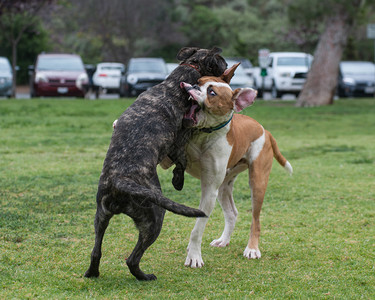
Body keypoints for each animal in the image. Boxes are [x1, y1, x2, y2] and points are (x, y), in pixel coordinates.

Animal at [84, 47, 226, 282]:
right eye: (222, 62)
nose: (227, 65)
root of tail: (120, 182)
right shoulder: (179, 141)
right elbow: (181, 162)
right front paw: (178, 181)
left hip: (101, 217)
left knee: (96, 250)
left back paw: (92, 272)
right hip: (155, 218)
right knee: (132, 259)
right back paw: (144, 276)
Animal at [181, 63, 292, 268]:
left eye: (212, 92)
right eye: (199, 81)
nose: (193, 86)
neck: (204, 134)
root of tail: (265, 130)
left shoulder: (209, 190)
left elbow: (197, 228)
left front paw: (194, 256)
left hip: (257, 183)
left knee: (255, 220)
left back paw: (252, 249)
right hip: (224, 187)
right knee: (232, 214)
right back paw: (223, 240)